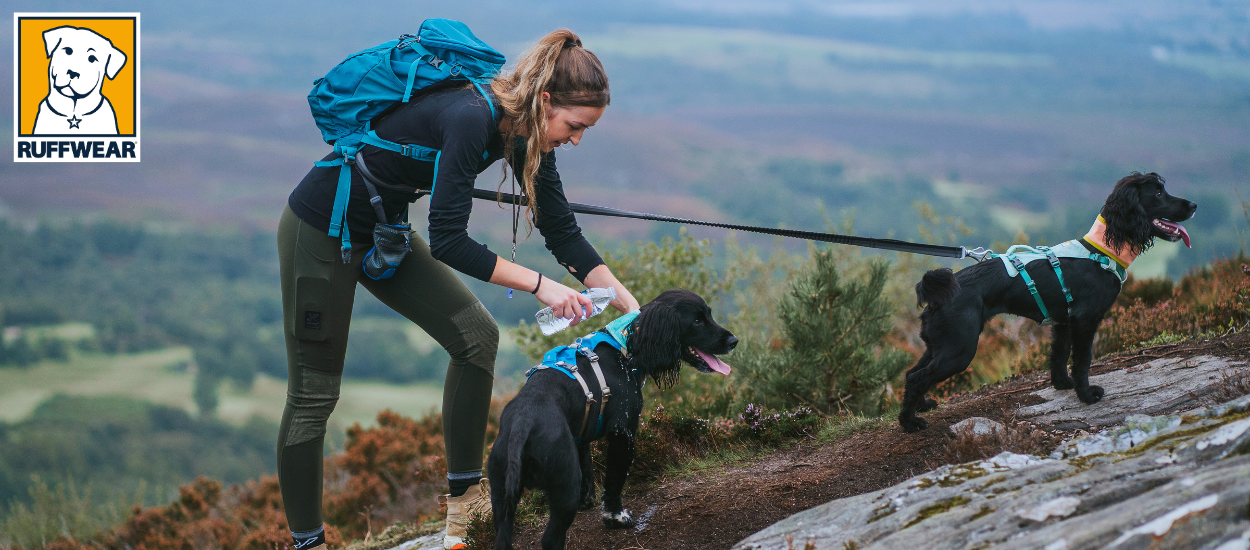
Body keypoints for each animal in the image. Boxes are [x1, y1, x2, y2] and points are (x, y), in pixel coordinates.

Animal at [482, 290, 730, 547]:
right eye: (697, 321)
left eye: (708, 315)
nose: (733, 341)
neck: (625, 347)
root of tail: (522, 424)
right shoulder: (623, 431)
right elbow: (615, 479)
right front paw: (616, 516)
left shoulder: (581, 438)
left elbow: (589, 472)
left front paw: (588, 501)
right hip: (564, 488)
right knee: (551, 538)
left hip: (501, 498)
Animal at [905, 173, 1195, 432]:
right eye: (1158, 193)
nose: (1193, 206)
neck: (1102, 251)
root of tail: (935, 295)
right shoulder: (1085, 320)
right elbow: (1082, 360)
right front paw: (1086, 394)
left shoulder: (1064, 321)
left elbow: (1059, 355)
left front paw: (1062, 384)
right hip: (960, 350)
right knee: (918, 377)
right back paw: (910, 423)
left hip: (939, 345)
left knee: (910, 375)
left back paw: (921, 406)